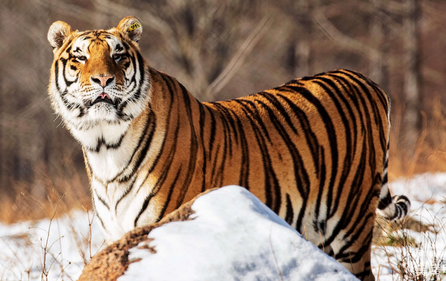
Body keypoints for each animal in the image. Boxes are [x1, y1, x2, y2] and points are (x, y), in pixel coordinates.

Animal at [47, 16, 410, 278]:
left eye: (118, 55)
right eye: (79, 57)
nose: (103, 80)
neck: (104, 143)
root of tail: (366, 80)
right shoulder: (119, 233)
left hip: (349, 225)